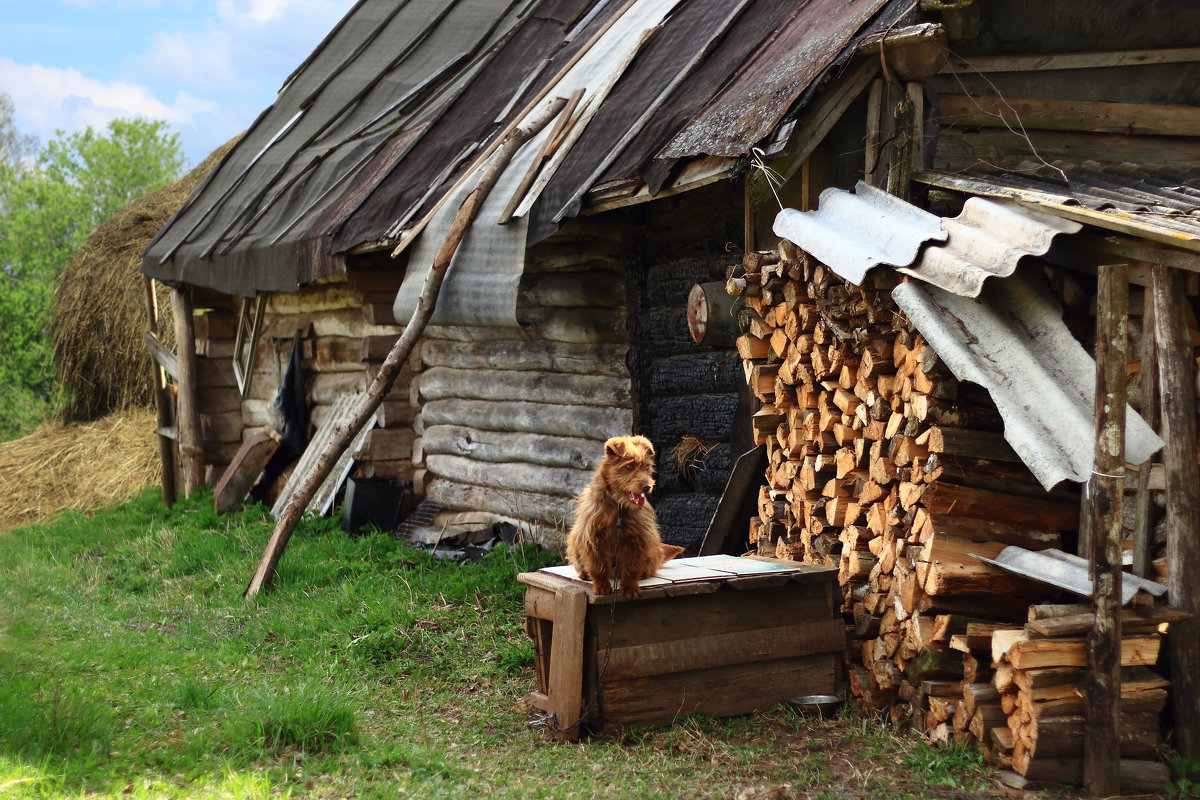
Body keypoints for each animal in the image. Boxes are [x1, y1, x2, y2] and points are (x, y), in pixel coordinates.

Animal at [564, 434, 681, 597]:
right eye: (629, 466)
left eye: (646, 467)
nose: (647, 487)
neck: (618, 506)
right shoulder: (592, 538)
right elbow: (597, 566)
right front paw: (602, 586)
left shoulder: (638, 540)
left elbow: (631, 568)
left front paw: (630, 587)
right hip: (574, 547)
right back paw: (584, 574)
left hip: (651, 553)